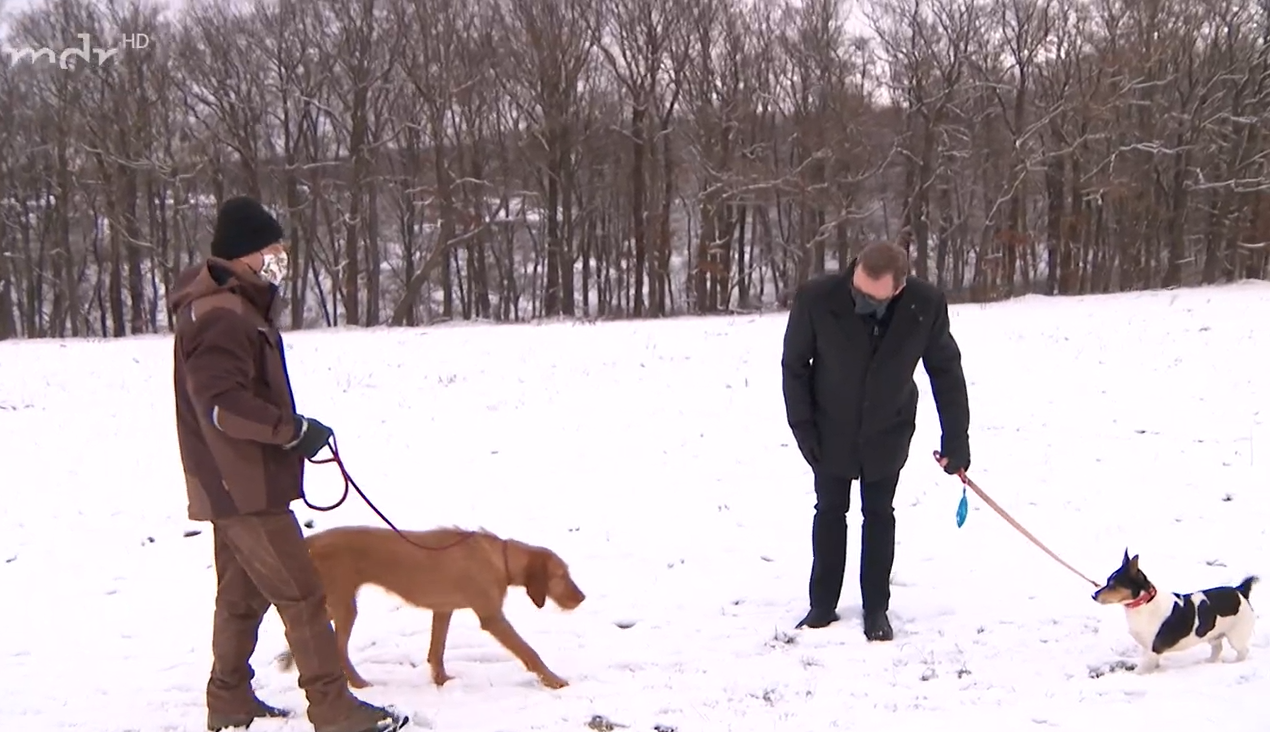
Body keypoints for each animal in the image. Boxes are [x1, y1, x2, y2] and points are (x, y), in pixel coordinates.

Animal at [278, 523, 584, 691]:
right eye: (561, 576)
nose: (582, 598)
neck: (500, 559)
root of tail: (310, 542)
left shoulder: (443, 610)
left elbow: (437, 650)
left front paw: (441, 680)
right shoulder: (492, 617)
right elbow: (529, 651)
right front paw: (554, 681)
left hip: (328, 601)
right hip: (342, 603)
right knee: (338, 648)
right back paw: (358, 683)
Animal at [1092, 549, 1259, 676]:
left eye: (1114, 585)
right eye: (1108, 581)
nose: (1094, 595)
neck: (1144, 604)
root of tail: (1241, 591)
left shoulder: (1153, 648)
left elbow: (1141, 669)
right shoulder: (1148, 648)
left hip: (1236, 636)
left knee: (1243, 651)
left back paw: (1234, 663)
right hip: (1214, 634)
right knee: (1217, 649)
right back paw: (1209, 662)